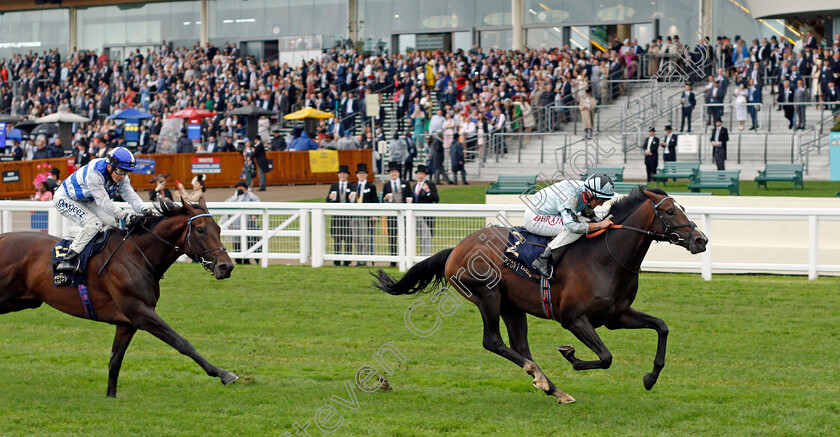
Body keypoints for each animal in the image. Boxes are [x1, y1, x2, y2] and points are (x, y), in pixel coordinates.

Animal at [0, 198, 238, 396]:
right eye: (200, 229)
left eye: (218, 228)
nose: (226, 266)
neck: (136, 256)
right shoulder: (141, 312)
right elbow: (182, 342)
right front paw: (223, 374)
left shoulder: (127, 323)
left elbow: (115, 362)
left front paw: (110, 396)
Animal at [370, 186, 704, 404]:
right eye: (671, 211)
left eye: (684, 208)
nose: (701, 240)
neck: (605, 257)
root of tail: (456, 249)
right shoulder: (573, 319)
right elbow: (606, 357)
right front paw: (571, 355)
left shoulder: (616, 316)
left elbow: (661, 326)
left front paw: (650, 378)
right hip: (487, 296)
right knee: (493, 341)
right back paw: (541, 378)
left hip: (512, 306)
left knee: (520, 346)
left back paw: (552, 387)